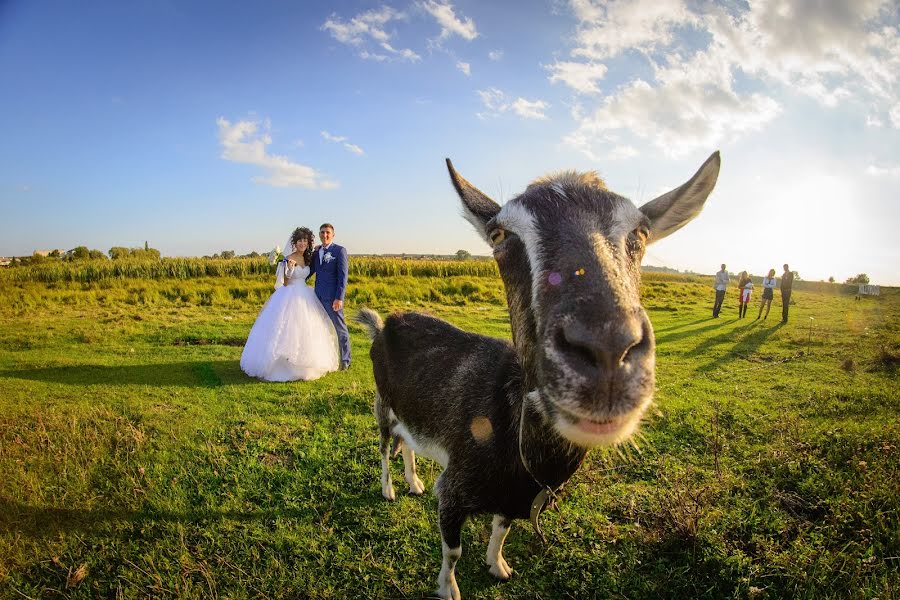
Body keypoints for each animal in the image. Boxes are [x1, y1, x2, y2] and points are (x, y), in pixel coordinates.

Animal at [356, 152, 720, 596]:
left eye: (642, 231)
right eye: (498, 235)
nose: (607, 352)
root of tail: (382, 324)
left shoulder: (517, 497)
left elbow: (501, 531)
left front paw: (498, 566)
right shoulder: (454, 490)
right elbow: (453, 551)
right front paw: (448, 589)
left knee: (407, 443)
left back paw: (413, 482)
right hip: (382, 403)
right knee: (383, 447)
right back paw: (390, 489)